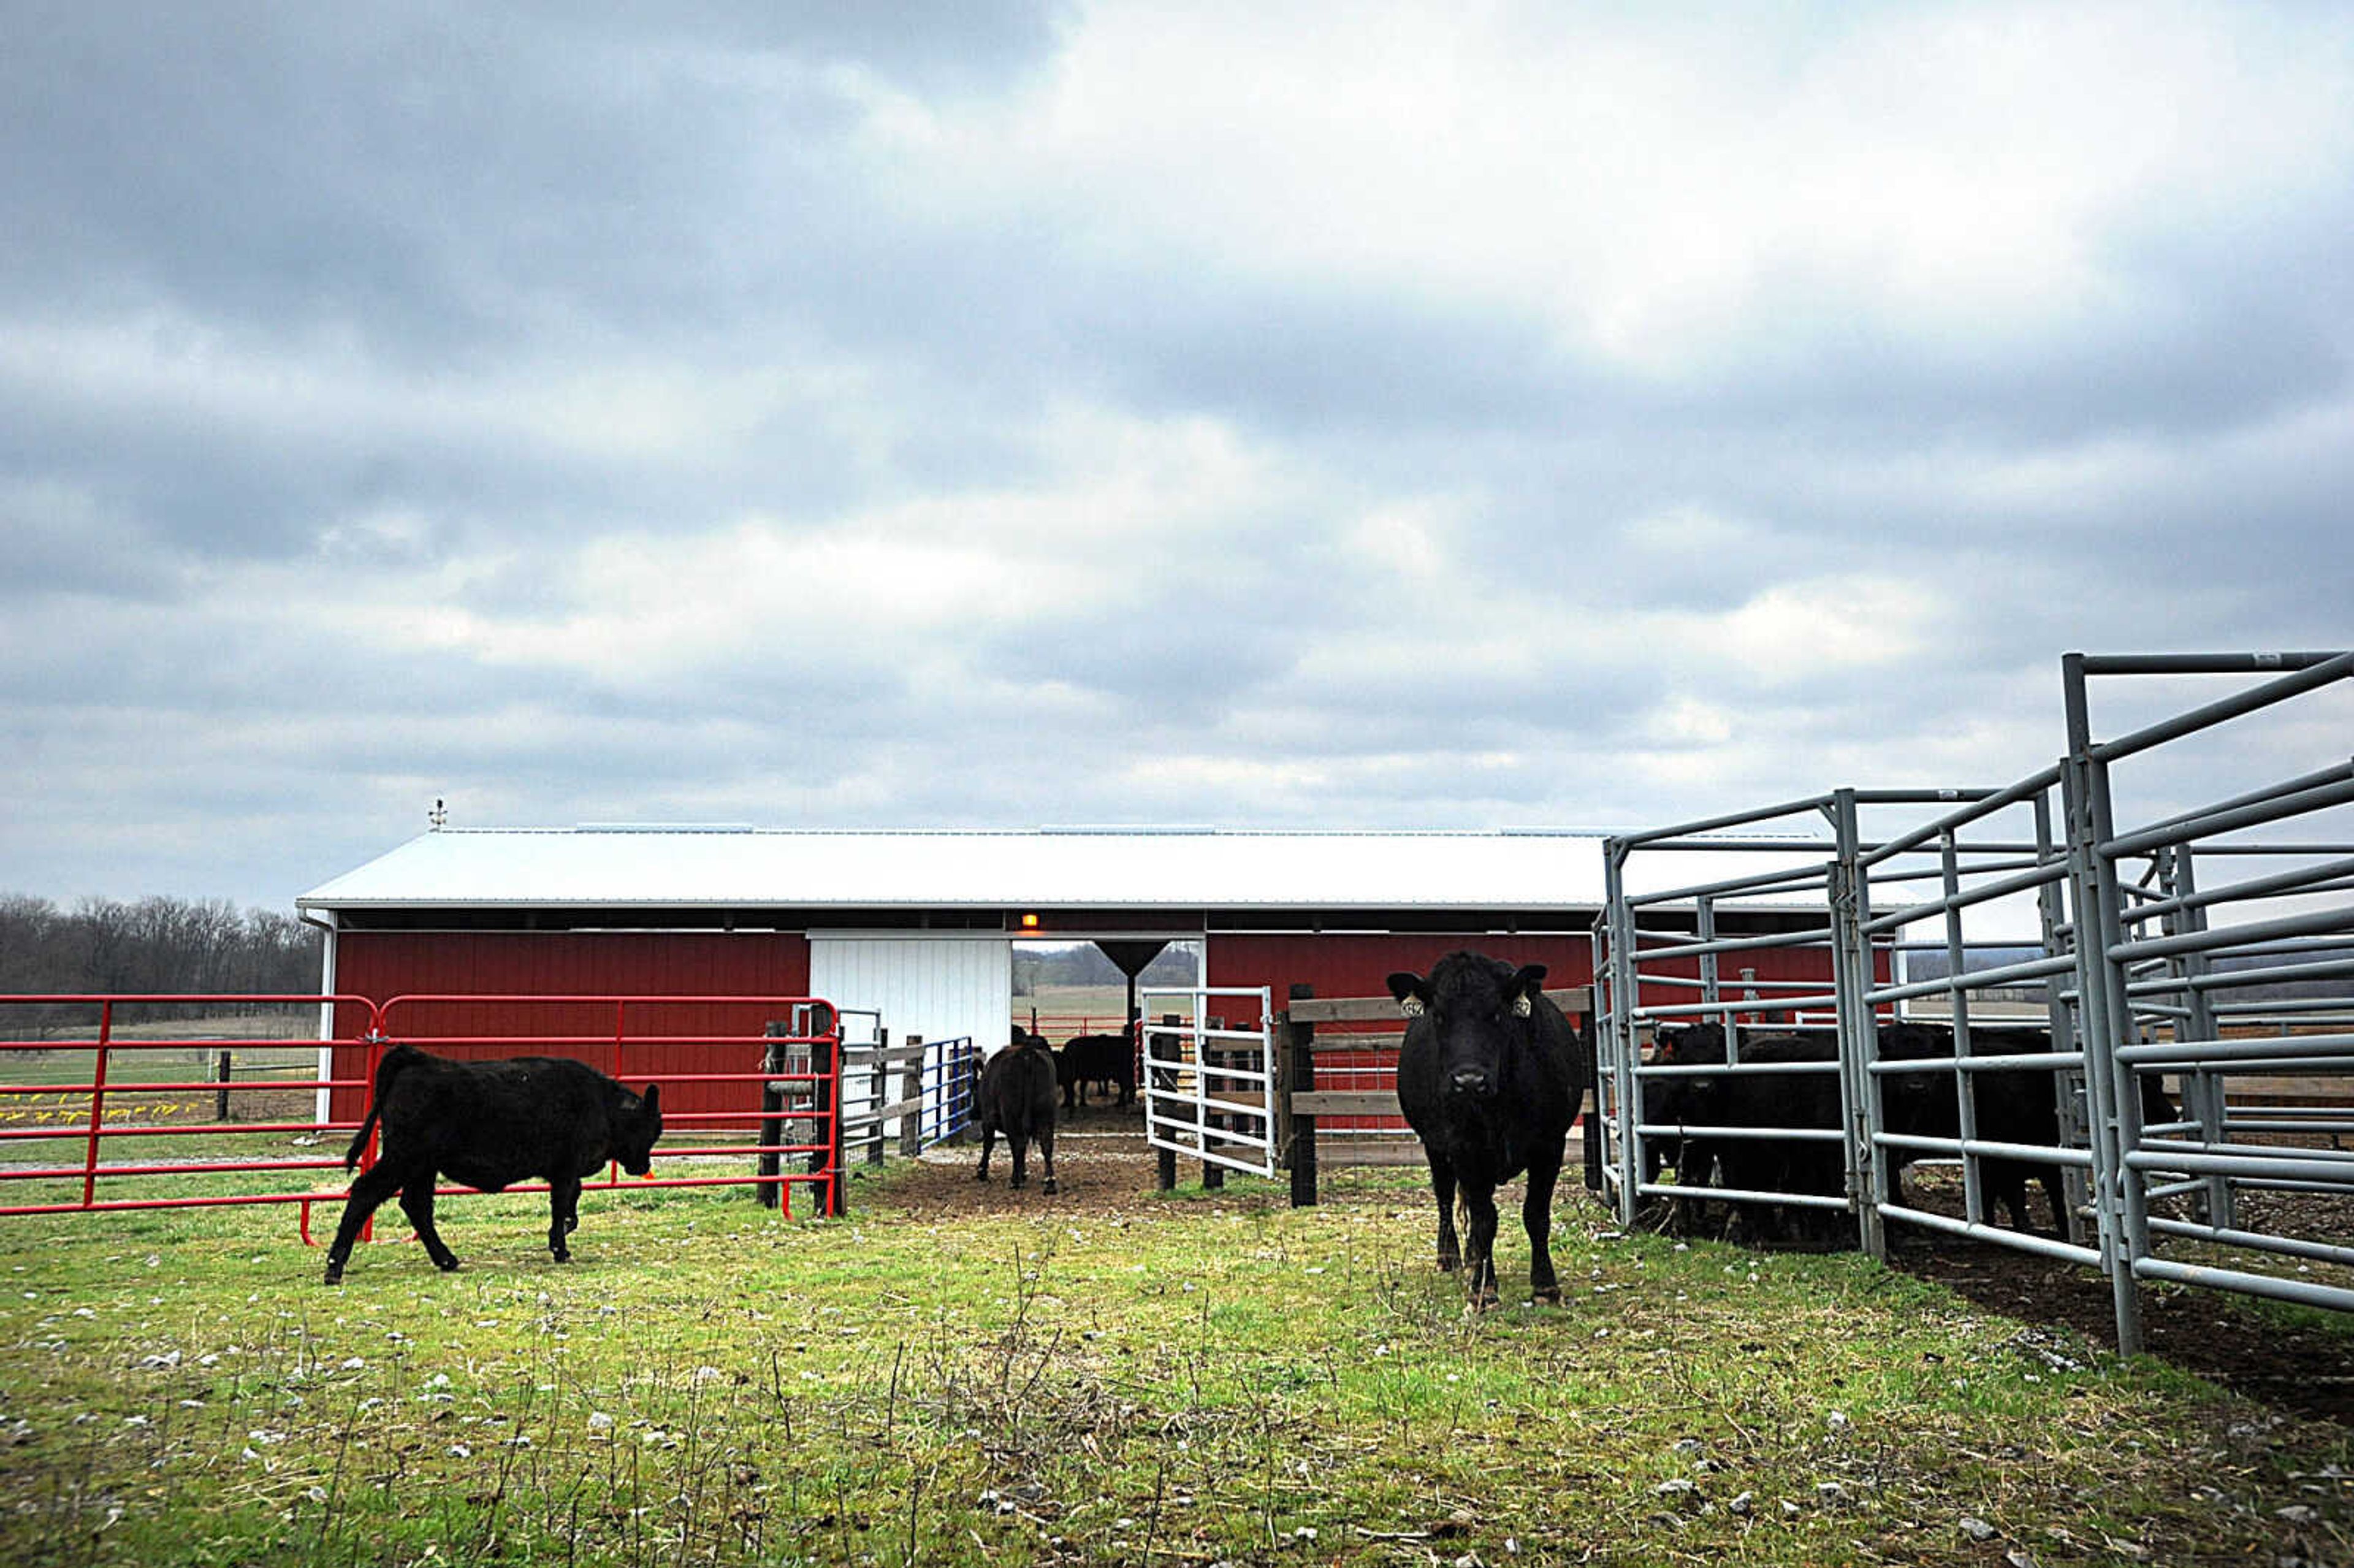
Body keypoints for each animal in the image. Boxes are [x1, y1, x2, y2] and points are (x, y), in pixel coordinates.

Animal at [322, 1045, 663, 1281]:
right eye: (651, 1128)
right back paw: (334, 1268)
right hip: (404, 1158)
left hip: (423, 1167)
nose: (643, 1167)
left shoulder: (562, 1171)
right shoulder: (566, 1169)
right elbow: (562, 1203)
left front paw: (564, 1232)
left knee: (416, 1205)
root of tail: (419, 1059)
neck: (602, 1104)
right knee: (366, 1192)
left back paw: (447, 1260)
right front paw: (561, 1247)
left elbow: (571, 1201)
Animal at [974, 1031, 1059, 1191]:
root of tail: (1027, 1053)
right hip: (1046, 1112)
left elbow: (988, 1143)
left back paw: (1015, 1180)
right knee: (1046, 1143)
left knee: (1017, 1143)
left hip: (1011, 1115)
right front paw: (1024, 1172)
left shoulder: (988, 1118)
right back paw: (1049, 1181)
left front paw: (982, 1171)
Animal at [1384, 951, 1591, 1309]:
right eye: (1439, 1016)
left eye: (1496, 1014)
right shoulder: (1464, 1149)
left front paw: (1545, 1285)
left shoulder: (1551, 1145)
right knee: (1445, 1197)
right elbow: (1484, 1220)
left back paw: (1471, 1259)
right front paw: (1484, 1289)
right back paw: (1451, 1257)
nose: (1469, 1081)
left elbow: (1536, 1214)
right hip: (1435, 1147)